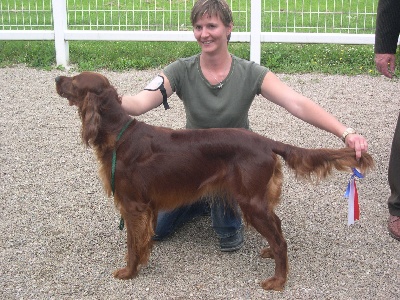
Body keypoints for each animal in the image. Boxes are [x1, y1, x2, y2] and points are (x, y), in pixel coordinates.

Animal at [54, 71, 374, 290]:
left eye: (75, 80)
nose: (57, 77)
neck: (118, 135)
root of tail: (266, 142)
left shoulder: (133, 205)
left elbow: (132, 244)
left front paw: (128, 272)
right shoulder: (145, 208)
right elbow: (142, 241)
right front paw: (142, 263)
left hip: (250, 202)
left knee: (281, 241)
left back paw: (277, 281)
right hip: (257, 200)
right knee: (278, 228)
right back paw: (269, 252)